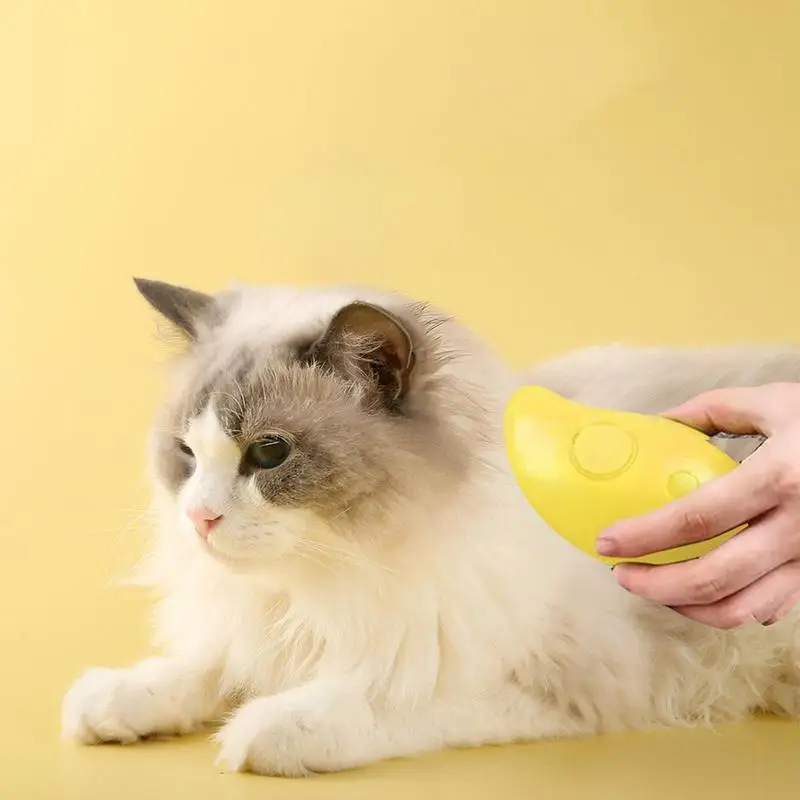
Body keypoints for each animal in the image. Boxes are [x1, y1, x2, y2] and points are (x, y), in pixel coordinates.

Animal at [61, 282, 800, 776]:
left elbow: (378, 698)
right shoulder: (260, 628)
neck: (326, 578)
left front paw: (260, 731)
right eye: (187, 454)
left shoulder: (535, 683)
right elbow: (200, 667)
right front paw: (111, 702)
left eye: (269, 454)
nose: (200, 516)